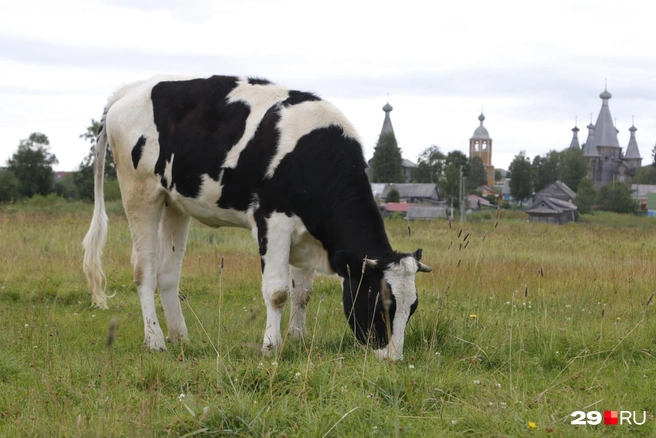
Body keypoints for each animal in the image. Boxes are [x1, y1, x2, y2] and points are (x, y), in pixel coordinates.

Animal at [83, 75, 430, 362]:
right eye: (379, 303)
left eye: (412, 307)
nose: (393, 358)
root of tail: (130, 90)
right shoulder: (273, 220)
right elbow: (277, 292)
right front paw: (271, 347)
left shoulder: (307, 235)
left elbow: (302, 294)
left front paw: (298, 339)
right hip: (140, 192)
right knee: (145, 269)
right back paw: (155, 340)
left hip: (174, 204)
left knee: (168, 273)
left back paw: (180, 337)